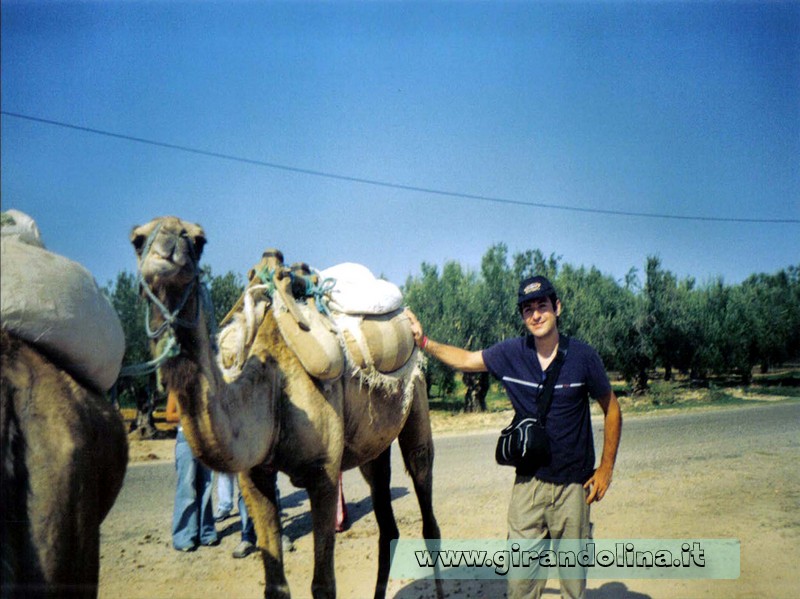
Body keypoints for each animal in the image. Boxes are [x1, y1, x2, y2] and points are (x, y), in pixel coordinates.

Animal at [131, 217, 444, 599]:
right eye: (137, 240)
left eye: (198, 240)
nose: (165, 253)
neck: (271, 384)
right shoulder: (254, 476)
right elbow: (275, 585)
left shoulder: (324, 473)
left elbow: (323, 584)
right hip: (372, 445)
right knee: (387, 521)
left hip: (416, 399)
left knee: (426, 498)